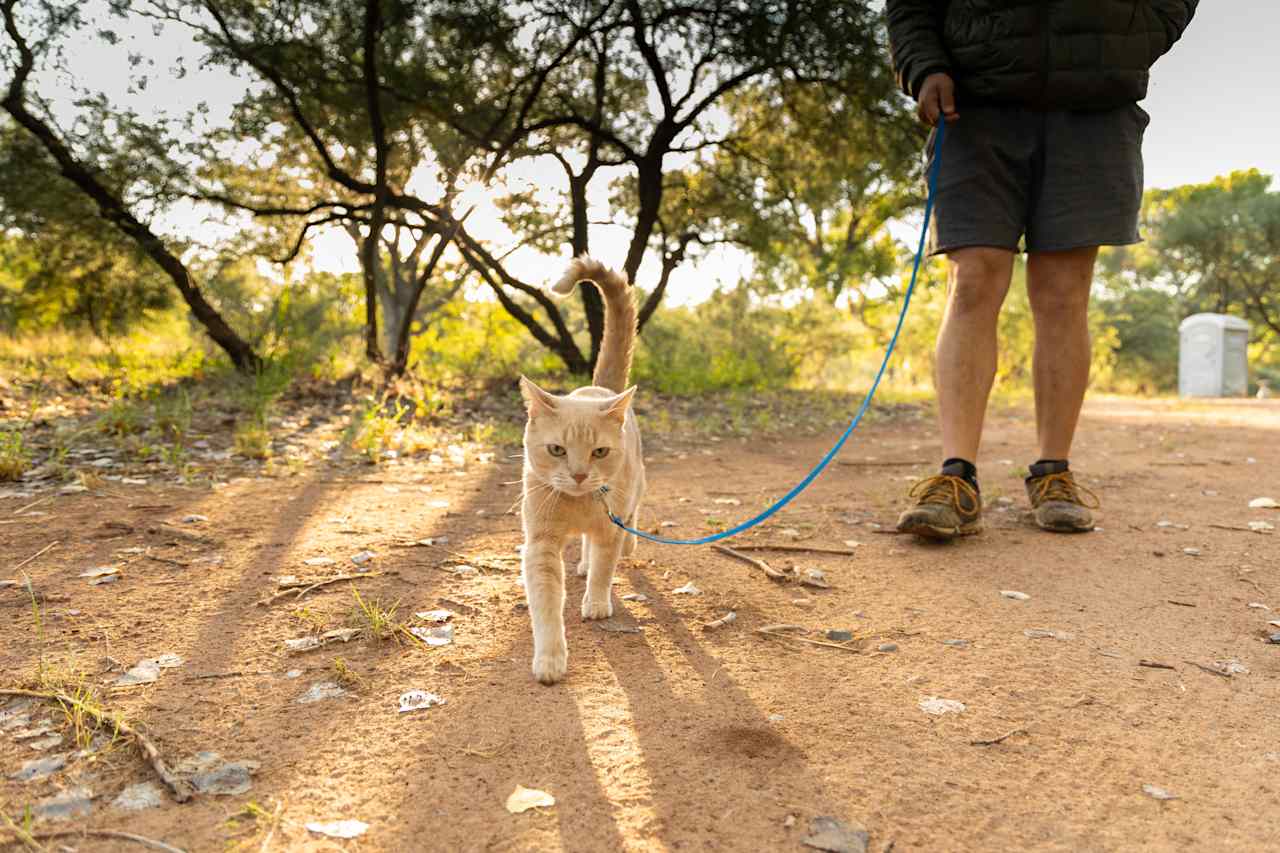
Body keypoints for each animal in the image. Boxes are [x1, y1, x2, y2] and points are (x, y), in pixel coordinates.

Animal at [517, 253, 645, 686]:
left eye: (599, 452)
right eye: (557, 449)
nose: (577, 475)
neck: (576, 506)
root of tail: (599, 389)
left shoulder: (608, 528)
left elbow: (605, 568)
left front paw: (597, 602)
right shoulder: (540, 545)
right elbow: (546, 604)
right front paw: (550, 659)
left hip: (634, 490)